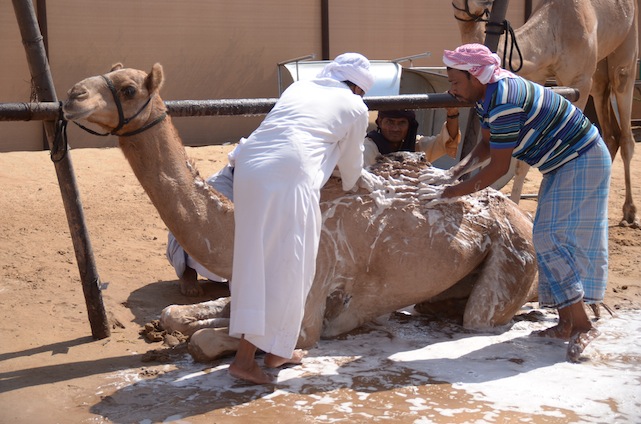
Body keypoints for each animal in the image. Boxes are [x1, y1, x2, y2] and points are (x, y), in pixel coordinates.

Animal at [62, 63, 536, 362]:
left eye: (128, 89)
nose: (72, 95)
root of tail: (521, 215)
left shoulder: (308, 308)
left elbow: (207, 340)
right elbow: (174, 315)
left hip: (515, 256)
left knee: (482, 315)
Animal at [452, 0, 636, 229]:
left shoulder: (581, 81)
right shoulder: (538, 77)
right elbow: (522, 164)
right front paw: (516, 210)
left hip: (626, 47)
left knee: (623, 93)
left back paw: (629, 213)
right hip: (600, 73)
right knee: (609, 126)